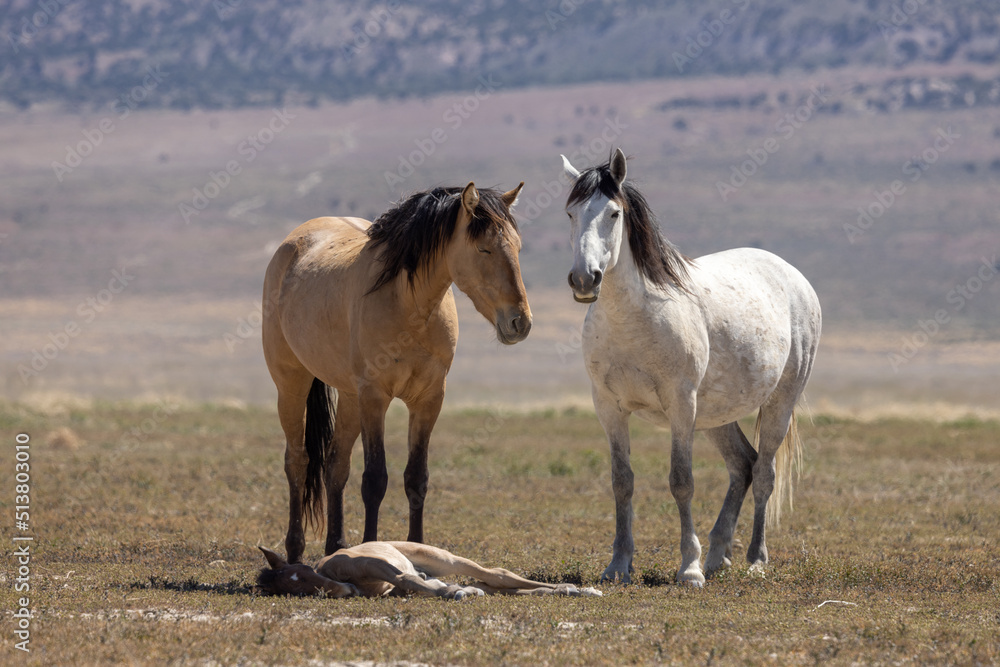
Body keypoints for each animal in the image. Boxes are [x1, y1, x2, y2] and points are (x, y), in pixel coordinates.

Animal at [560, 147, 824, 584]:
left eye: (613, 213)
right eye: (570, 213)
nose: (584, 279)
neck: (634, 318)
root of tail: (794, 277)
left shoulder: (681, 406)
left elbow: (681, 481)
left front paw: (689, 568)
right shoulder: (609, 408)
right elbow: (622, 482)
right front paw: (618, 565)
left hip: (779, 403)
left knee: (764, 473)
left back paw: (755, 559)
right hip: (717, 415)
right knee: (742, 465)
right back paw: (719, 554)